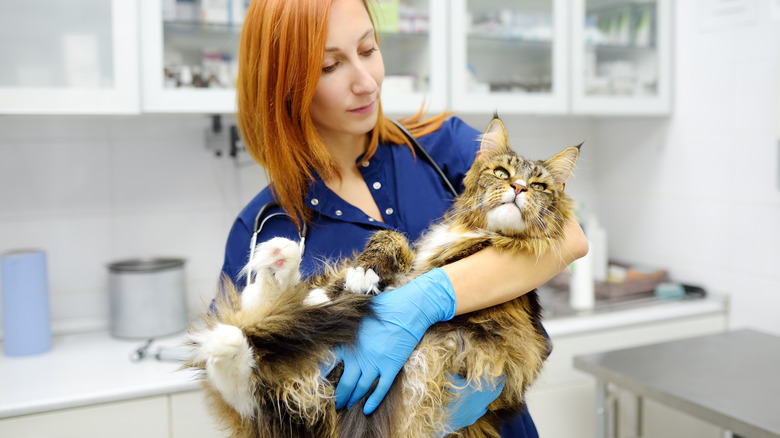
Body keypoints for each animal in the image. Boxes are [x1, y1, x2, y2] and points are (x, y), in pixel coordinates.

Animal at [186, 116, 580, 438]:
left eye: (539, 186)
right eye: (501, 173)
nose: (519, 188)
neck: (472, 231)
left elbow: (427, 275)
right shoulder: (413, 256)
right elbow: (391, 238)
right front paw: (356, 276)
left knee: (263, 398)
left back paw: (233, 336)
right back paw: (278, 264)